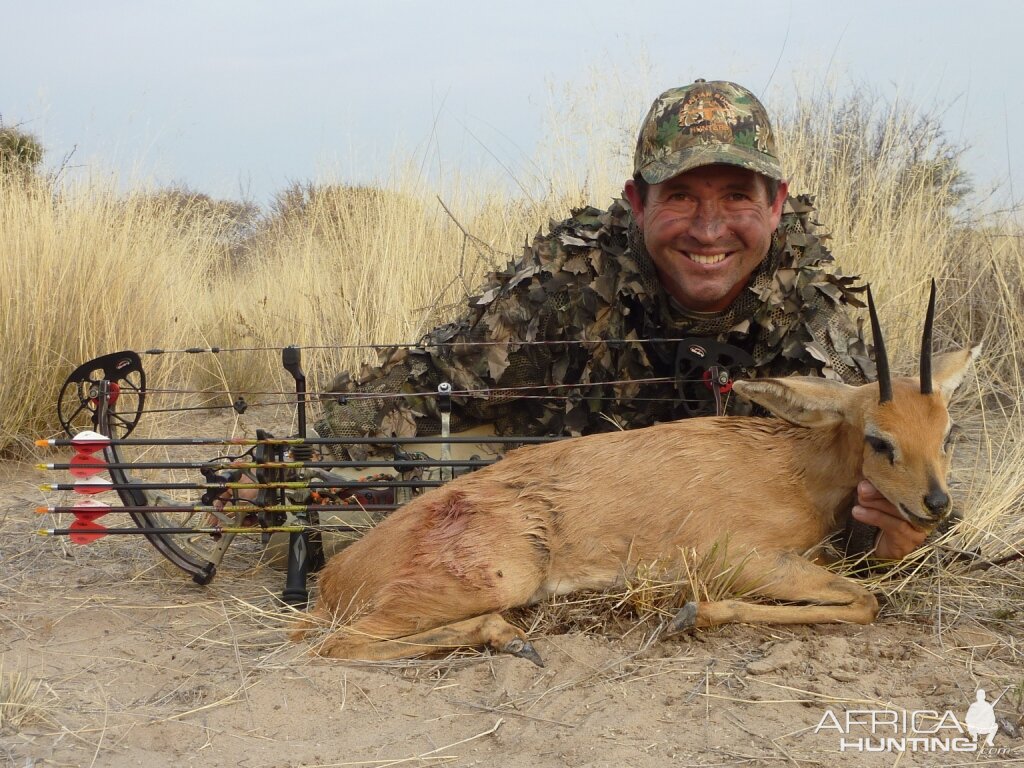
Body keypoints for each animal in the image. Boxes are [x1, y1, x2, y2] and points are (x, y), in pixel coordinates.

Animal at [294, 286, 974, 663]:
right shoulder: (741, 558)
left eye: (947, 432)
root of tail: (335, 576)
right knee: (334, 645)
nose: (938, 505)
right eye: (879, 439)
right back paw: (511, 640)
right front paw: (691, 614)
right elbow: (865, 600)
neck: (795, 470)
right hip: (496, 579)